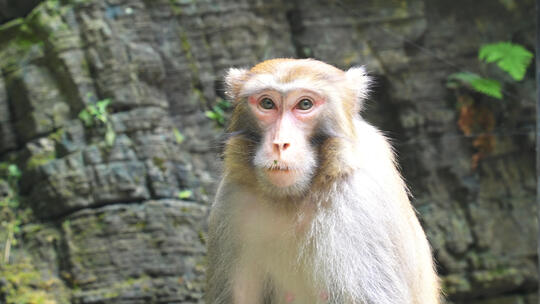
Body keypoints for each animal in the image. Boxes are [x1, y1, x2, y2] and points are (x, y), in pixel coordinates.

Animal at [206, 57, 438, 304]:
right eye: (267, 103)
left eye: (305, 104)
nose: (280, 143)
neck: (291, 198)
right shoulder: (232, 199)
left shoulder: (358, 204)